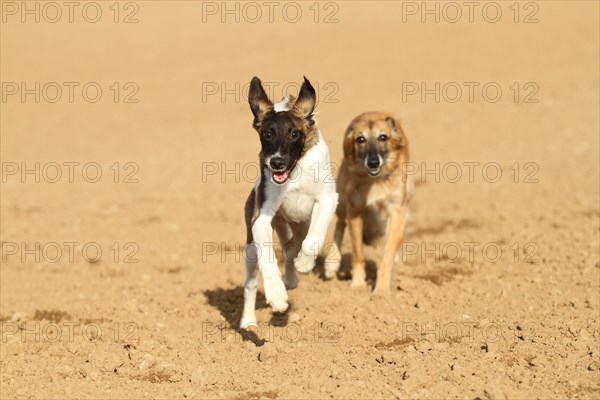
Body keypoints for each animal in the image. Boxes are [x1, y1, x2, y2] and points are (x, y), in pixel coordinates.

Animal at [241, 76, 340, 328]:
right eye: (267, 134)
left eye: (294, 134)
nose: (276, 162)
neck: (295, 171)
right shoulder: (261, 218)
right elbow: (268, 258)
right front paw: (276, 295)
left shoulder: (327, 199)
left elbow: (314, 239)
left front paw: (305, 264)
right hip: (251, 246)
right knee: (251, 282)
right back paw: (247, 321)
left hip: (298, 226)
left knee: (292, 248)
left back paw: (294, 276)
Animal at [324, 111, 412, 296]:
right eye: (361, 139)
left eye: (383, 137)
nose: (373, 162)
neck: (375, 180)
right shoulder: (355, 210)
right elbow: (358, 254)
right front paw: (357, 286)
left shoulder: (397, 210)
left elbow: (387, 256)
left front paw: (381, 291)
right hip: (342, 200)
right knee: (340, 224)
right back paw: (331, 263)